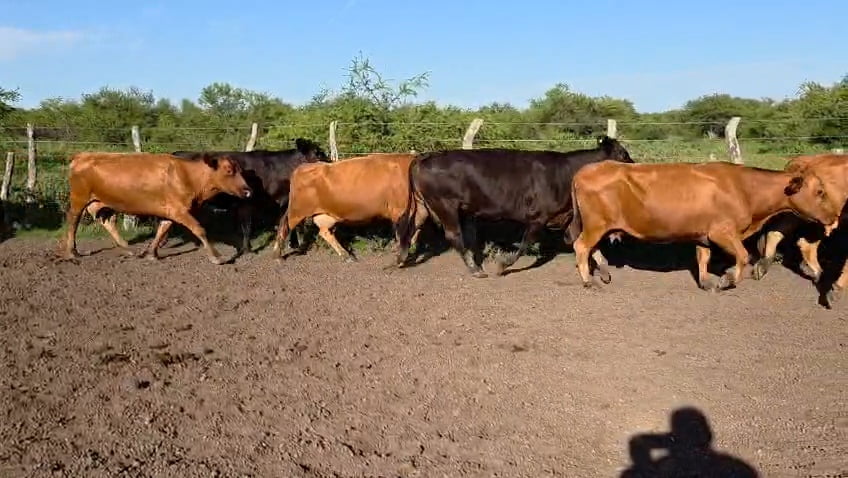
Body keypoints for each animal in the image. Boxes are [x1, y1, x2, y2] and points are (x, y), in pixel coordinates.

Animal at [62, 152, 252, 265]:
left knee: (106, 221)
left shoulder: (170, 211)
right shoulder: (179, 210)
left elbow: (162, 229)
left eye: (240, 170)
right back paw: (72, 252)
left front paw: (151, 253)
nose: (248, 191)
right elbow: (200, 229)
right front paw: (217, 256)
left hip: (100, 202)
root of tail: (82, 155)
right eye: (229, 170)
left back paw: (128, 248)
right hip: (79, 198)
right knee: (73, 221)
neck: (187, 176)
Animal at [171, 138, 330, 257]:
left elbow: (287, 223)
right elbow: (247, 227)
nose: (332, 162)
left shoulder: (284, 201)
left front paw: (293, 245)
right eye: (318, 154)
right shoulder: (247, 203)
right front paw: (248, 249)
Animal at [272, 153, 429, 260]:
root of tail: (303, 167)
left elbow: (417, 227)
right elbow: (402, 232)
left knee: (324, 231)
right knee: (284, 226)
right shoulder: (399, 210)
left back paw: (345, 255)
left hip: (324, 214)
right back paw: (277, 254)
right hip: (297, 211)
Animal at [393, 136, 634, 278]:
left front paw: (604, 269)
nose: (635, 166)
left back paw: (401, 258)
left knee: (411, 227)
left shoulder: (566, 216)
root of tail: (425, 156)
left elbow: (586, 243)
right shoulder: (538, 217)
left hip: (424, 205)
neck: (566, 173)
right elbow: (525, 244)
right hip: (446, 205)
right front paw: (503, 265)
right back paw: (475, 269)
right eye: (623, 153)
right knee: (453, 235)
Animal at [567, 160, 841, 291]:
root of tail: (586, 169)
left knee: (592, 248)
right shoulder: (722, 232)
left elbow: (703, 258)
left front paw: (706, 282)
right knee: (581, 246)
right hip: (596, 224)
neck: (745, 188)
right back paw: (589, 280)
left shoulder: (703, 234)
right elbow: (743, 256)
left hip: (599, 225)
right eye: (819, 191)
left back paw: (603, 271)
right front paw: (727, 280)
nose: (834, 216)